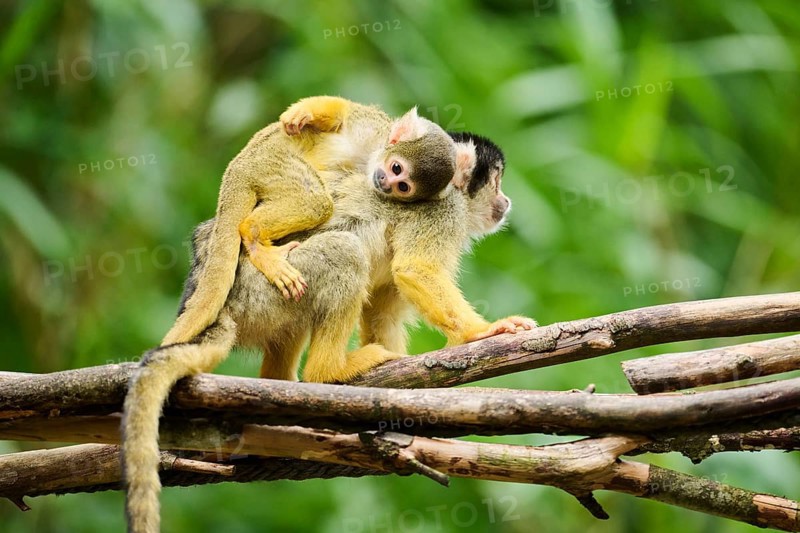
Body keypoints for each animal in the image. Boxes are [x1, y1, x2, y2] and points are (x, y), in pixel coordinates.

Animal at [122, 131, 536, 533]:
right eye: (495, 182)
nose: (505, 200)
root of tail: (220, 300)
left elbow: (384, 303)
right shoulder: (440, 211)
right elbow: (415, 269)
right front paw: (481, 333)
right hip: (266, 288)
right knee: (343, 250)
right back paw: (328, 371)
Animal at [162, 96, 463, 347]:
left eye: (404, 187)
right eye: (396, 168)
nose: (385, 183)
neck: (370, 160)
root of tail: (237, 168)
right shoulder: (375, 130)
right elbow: (344, 113)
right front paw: (303, 113)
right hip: (271, 164)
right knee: (316, 201)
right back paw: (253, 234)